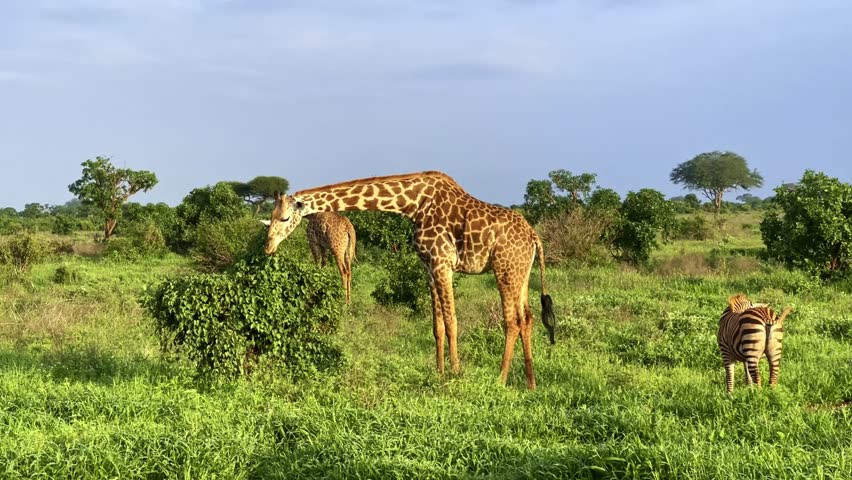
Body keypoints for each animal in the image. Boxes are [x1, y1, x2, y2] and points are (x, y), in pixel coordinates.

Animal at [263, 171, 556, 389]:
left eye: (285, 217)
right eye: (270, 217)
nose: (267, 247)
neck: (414, 205)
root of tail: (534, 237)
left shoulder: (442, 263)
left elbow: (452, 321)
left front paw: (456, 373)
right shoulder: (428, 266)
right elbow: (437, 325)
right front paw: (439, 371)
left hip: (504, 269)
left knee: (512, 321)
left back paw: (500, 379)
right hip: (521, 272)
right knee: (527, 318)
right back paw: (530, 383)